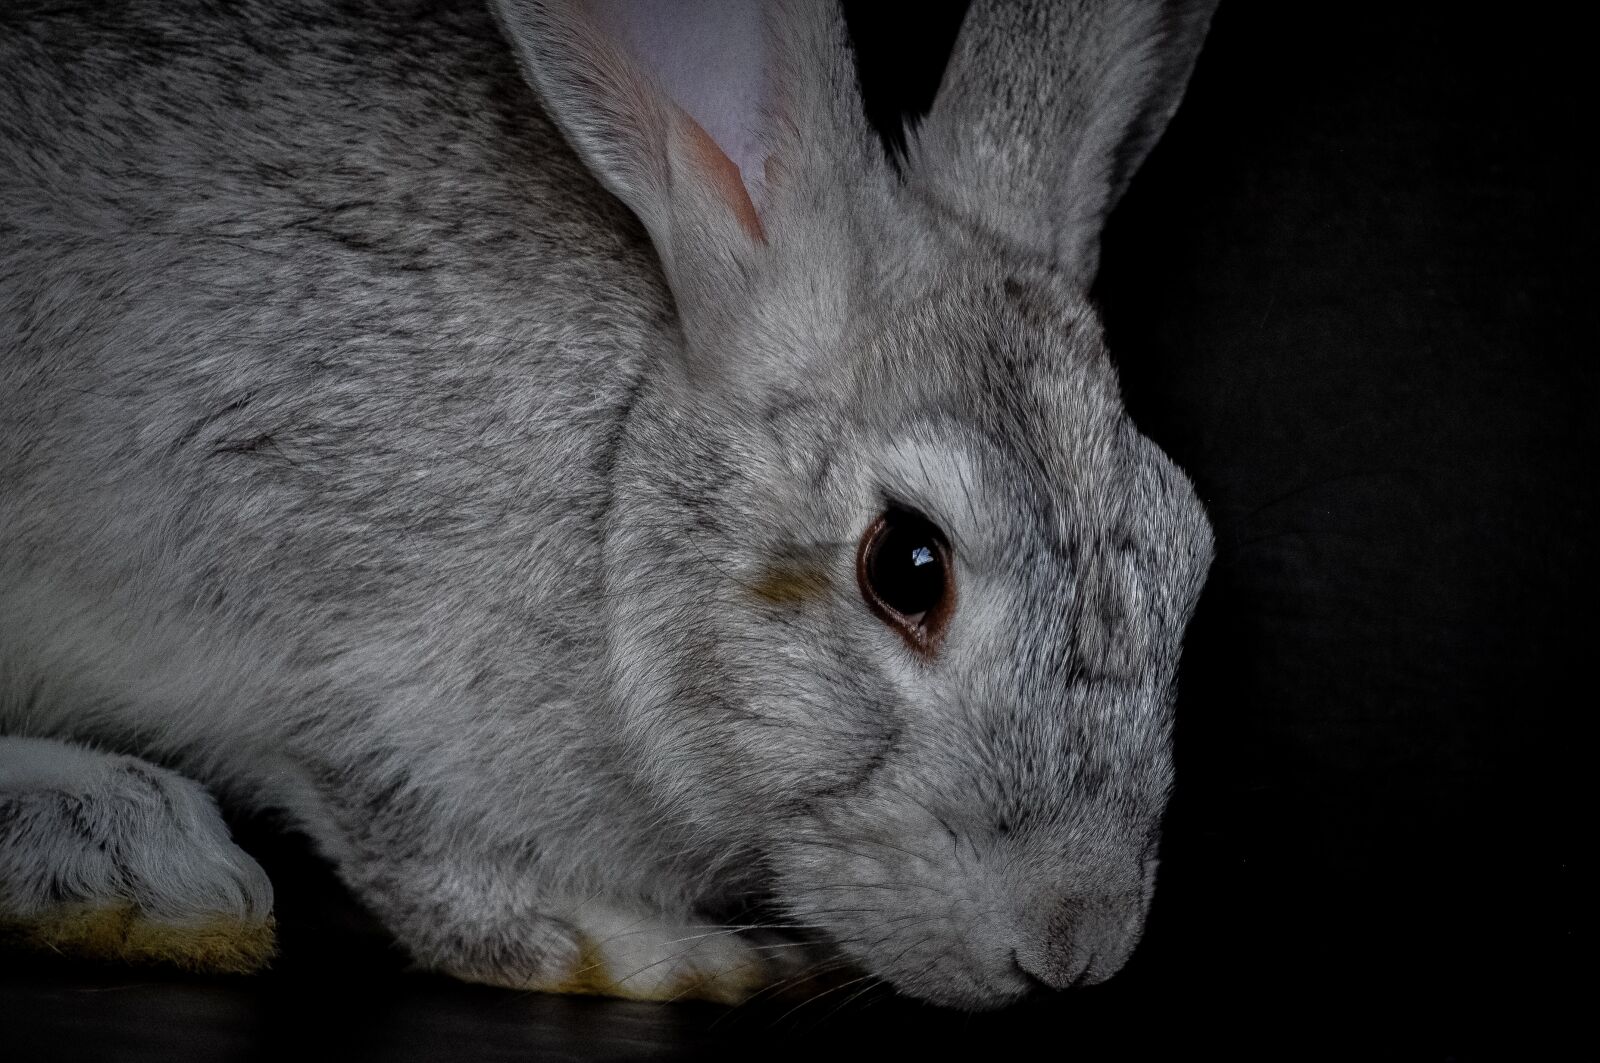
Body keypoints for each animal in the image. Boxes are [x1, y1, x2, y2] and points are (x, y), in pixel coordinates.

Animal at [0, 0, 1218, 1010]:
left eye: (1192, 551)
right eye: (907, 565)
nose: (1074, 944)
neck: (615, 485)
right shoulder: (317, 635)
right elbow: (432, 867)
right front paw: (671, 955)